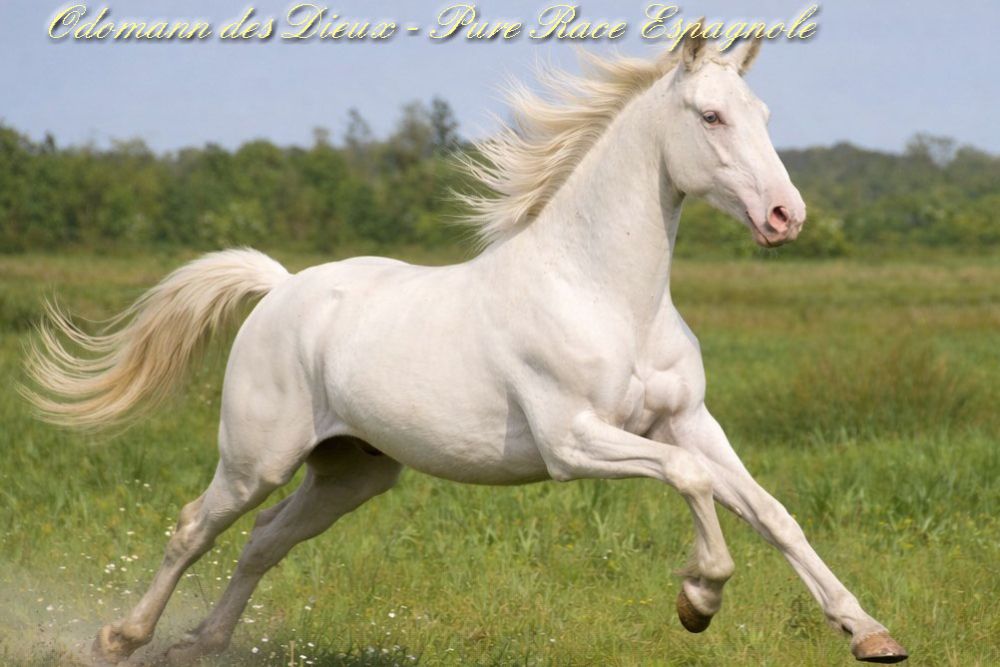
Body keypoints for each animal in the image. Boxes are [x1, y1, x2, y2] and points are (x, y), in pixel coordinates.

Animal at [25, 35, 909, 665]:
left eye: (763, 115)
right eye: (712, 118)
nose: (785, 216)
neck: (602, 293)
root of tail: (281, 288)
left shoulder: (686, 420)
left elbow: (771, 511)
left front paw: (870, 632)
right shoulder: (574, 442)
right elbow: (694, 485)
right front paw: (698, 600)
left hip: (352, 472)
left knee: (264, 539)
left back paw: (200, 643)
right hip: (257, 457)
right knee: (193, 529)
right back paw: (119, 638)